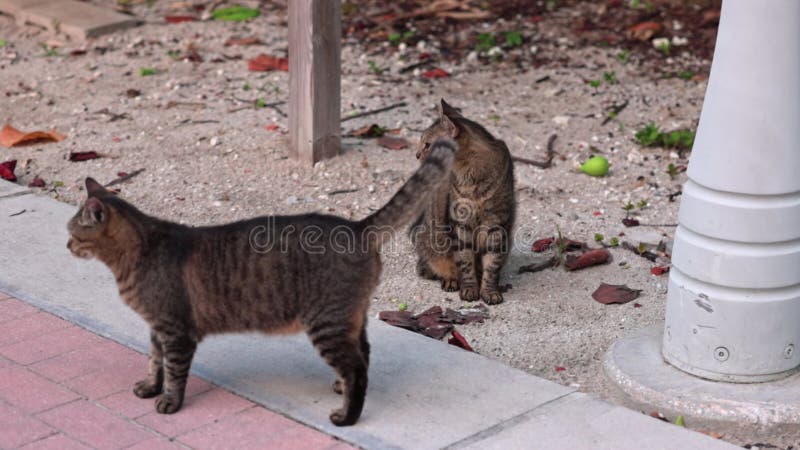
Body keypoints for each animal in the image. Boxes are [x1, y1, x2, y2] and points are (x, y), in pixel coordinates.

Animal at [67, 140, 456, 426]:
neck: (137, 254)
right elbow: (154, 361)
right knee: (363, 354)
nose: (67, 245)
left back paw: (347, 416)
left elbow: (174, 370)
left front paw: (169, 401)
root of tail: (357, 227)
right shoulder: (157, 328)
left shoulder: (175, 331)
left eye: (72, 231)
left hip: (325, 323)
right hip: (350, 318)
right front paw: (150, 386)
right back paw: (340, 387)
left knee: (357, 368)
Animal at [410, 100, 516, 306]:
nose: (417, 155)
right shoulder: (460, 226)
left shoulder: (497, 225)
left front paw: (489, 291)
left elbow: (492, 264)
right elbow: (465, 263)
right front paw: (469, 289)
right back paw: (451, 280)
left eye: (427, 144)